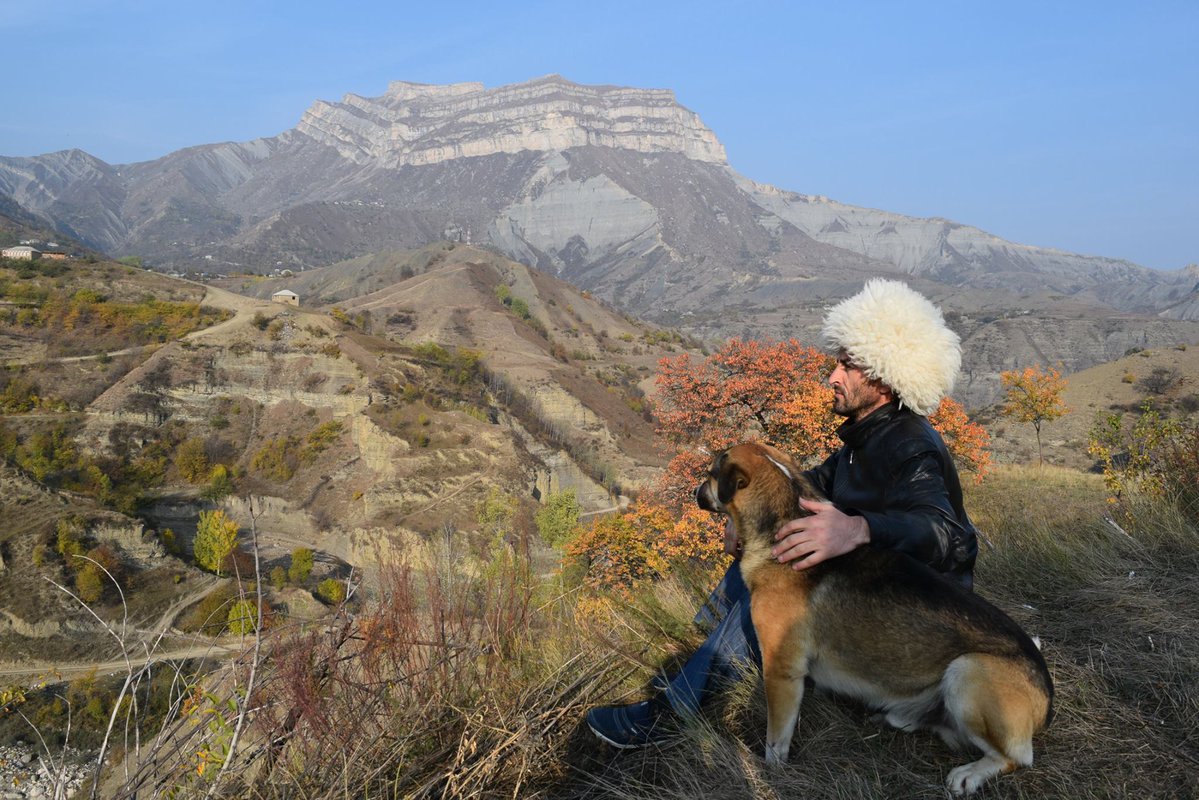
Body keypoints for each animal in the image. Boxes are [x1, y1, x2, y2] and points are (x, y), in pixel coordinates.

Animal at [695, 441, 1050, 796]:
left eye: (711, 474)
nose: (696, 493)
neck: (785, 517)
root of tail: (1047, 697)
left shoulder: (781, 672)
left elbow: (776, 741)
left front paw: (771, 773)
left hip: (967, 671)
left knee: (1015, 758)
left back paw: (970, 774)